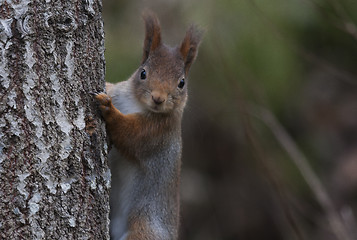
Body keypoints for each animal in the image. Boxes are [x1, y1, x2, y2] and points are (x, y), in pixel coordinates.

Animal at [94, 11, 202, 240]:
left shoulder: (156, 133)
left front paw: (108, 109)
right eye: (142, 73)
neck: (135, 103)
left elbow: (129, 134)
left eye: (182, 83)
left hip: (144, 229)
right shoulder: (119, 92)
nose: (158, 98)